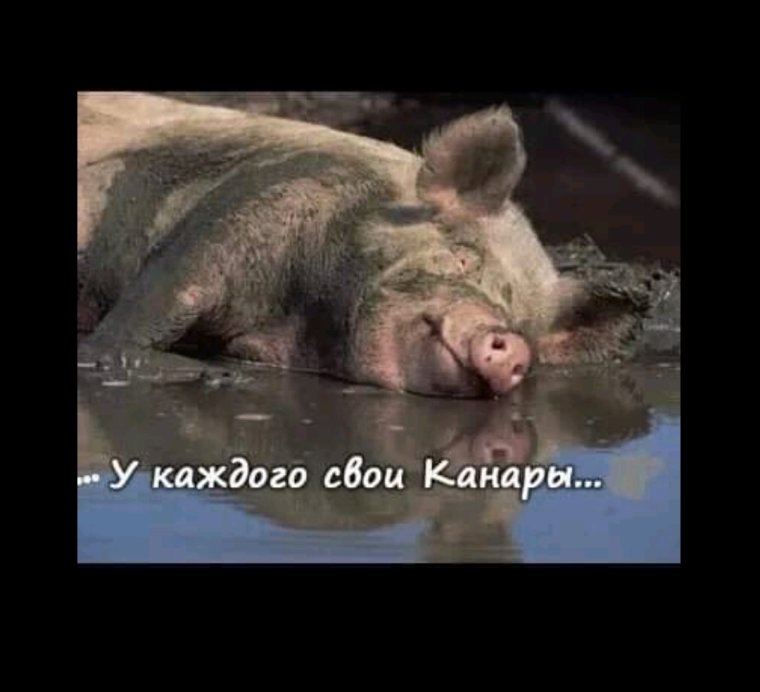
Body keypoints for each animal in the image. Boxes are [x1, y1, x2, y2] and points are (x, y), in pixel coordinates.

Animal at [77, 92, 647, 398]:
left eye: (525, 321)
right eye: (464, 256)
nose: (512, 343)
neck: (298, 323)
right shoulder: (239, 212)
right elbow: (157, 302)